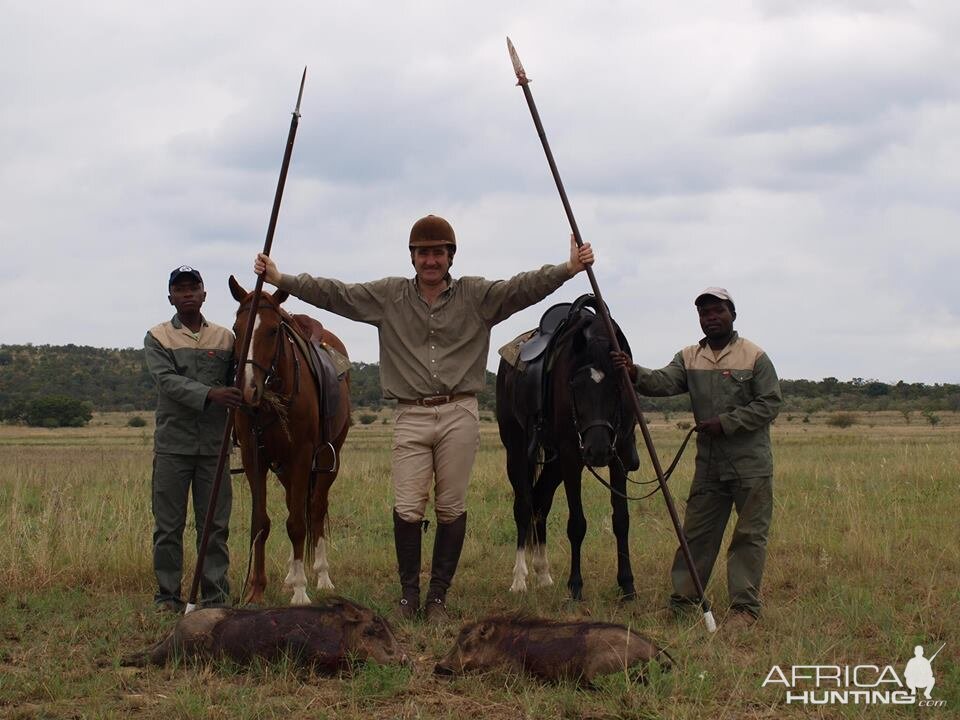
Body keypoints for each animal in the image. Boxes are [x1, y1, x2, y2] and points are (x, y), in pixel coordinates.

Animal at [229, 278, 352, 604]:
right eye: (236, 329)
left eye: (273, 330)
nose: (248, 390)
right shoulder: (255, 459)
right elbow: (261, 523)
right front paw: (257, 589)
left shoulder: (302, 456)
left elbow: (298, 524)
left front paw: (300, 591)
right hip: (284, 468)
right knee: (293, 505)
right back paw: (289, 574)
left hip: (327, 460)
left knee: (316, 509)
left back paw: (321, 575)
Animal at [496, 298, 636, 600]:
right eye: (575, 385)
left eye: (618, 386)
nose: (597, 451)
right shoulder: (572, 457)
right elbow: (577, 524)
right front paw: (575, 586)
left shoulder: (618, 456)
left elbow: (621, 520)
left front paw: (627, 584)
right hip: (517, 448)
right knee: (524, 505)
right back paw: (520, 578)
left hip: (555, 461)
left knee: (540, 500)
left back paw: (543, 573)